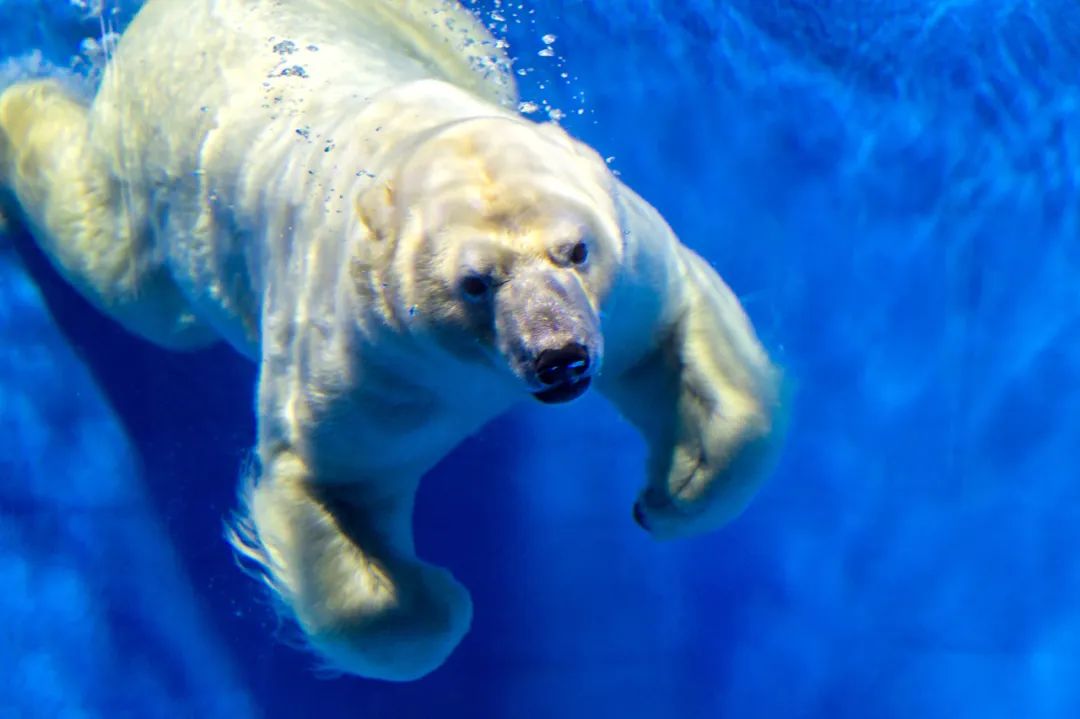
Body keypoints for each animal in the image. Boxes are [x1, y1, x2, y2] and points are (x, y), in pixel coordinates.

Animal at [0, 0, 781, 677]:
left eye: (576, 249)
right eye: (475, 281)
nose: (560, 358)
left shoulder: (624, 281)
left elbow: (682, 331)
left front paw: (669, 493)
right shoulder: (369, 366)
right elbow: (328, 484)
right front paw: (443, 594)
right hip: (151, 171)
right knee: (125, 275)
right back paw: (23, 98)